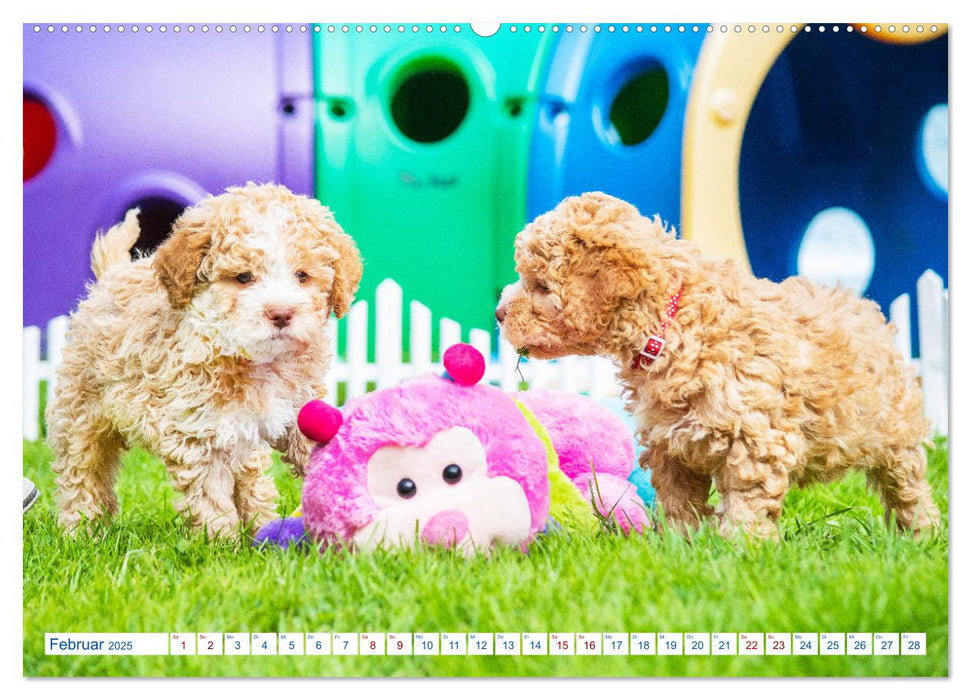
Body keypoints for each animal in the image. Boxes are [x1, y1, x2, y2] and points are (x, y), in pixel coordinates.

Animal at [47, 183, 362, 540]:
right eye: (243, 277)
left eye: (303, 276)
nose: (281, 313)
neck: (259, 361)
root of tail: (112, 277)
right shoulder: (198, 430)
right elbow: (211, 494)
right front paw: (222, 544)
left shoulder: (298, 406)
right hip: (81, 411)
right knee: (83, 470)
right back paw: (80, 530)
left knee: (250, 476)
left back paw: (261, 521)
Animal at [498, 194, 936, 540]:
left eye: (541, 286)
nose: (499, 313)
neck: (668, 323)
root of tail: (868, 309)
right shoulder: (668, 442)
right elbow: (678, 499)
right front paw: (681, 546)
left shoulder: (755, 437)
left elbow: (747, 498)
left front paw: (741, 549)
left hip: (894, 434)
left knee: (908, 487)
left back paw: (921, 535)